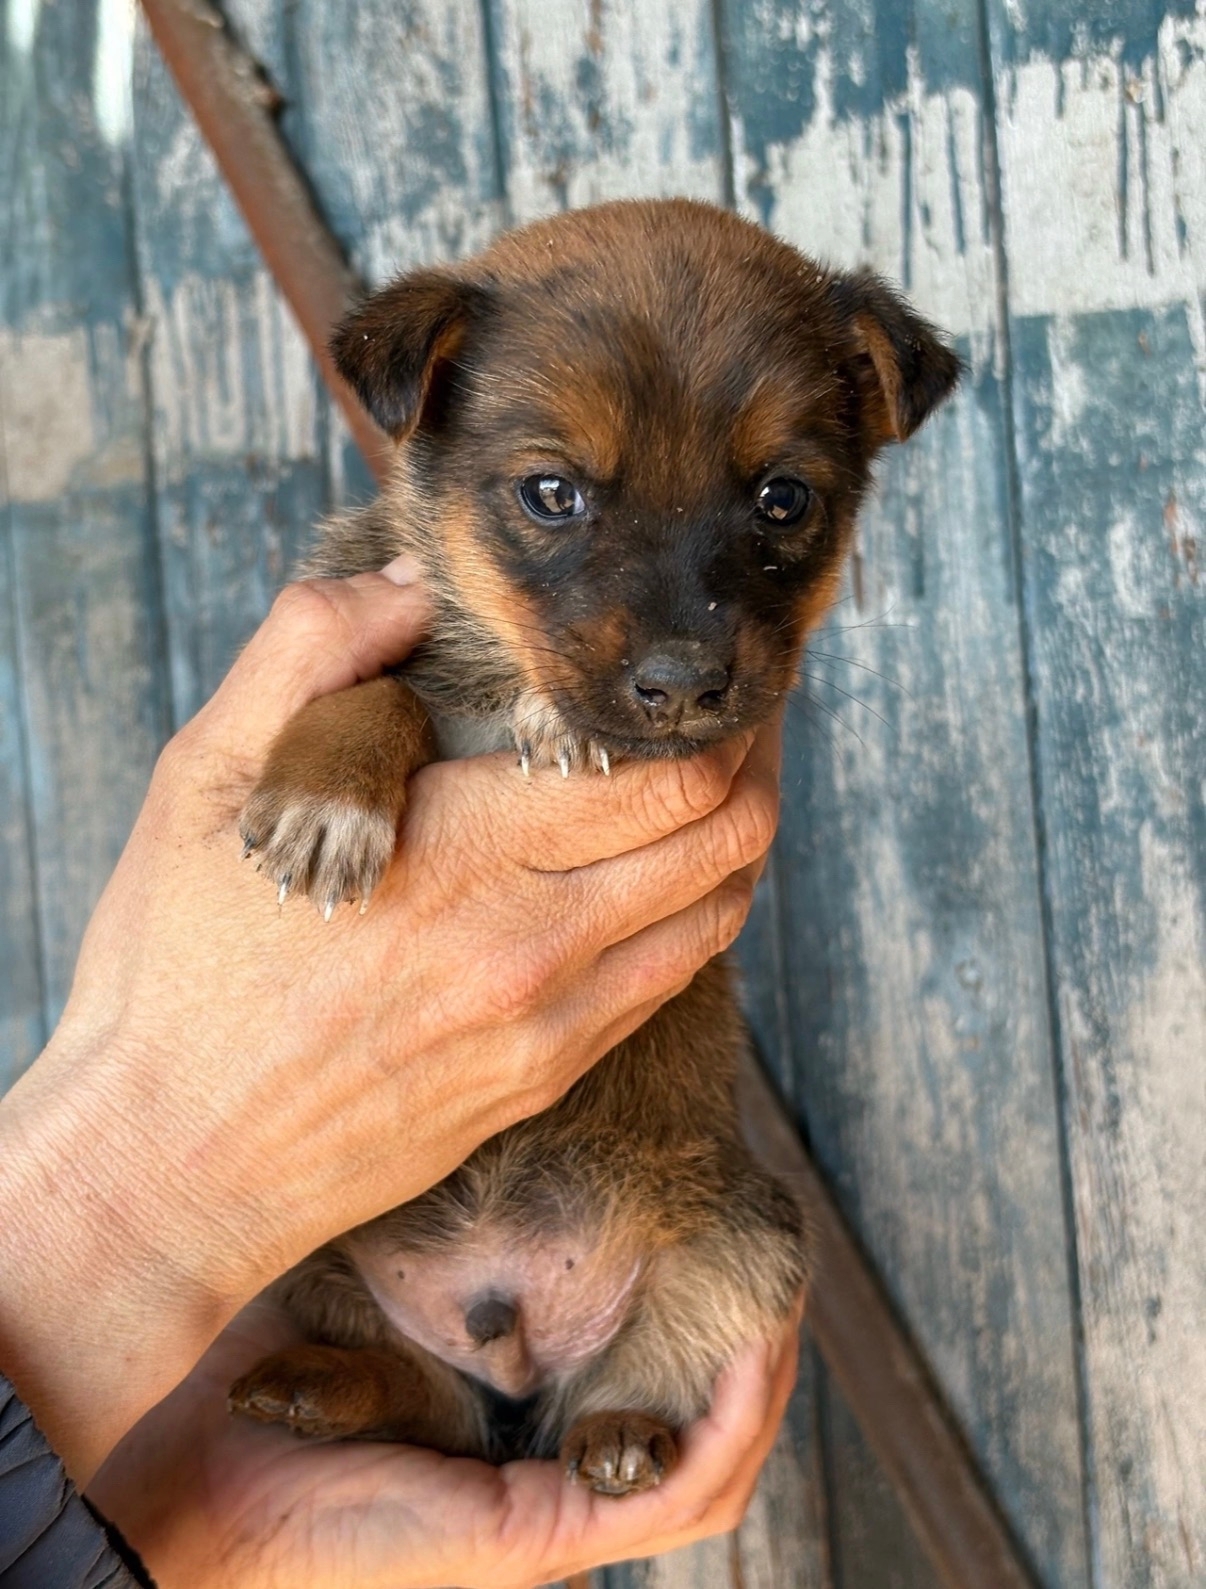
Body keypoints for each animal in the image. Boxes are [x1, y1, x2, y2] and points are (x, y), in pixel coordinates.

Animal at [228, 199, 960, 1495]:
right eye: (551, 492)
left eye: (784, 498)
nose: (683, 687)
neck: (501, 675)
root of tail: (507, 1313)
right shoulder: (354, 599)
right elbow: (381, 689)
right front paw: (327, 796)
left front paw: (553, 730)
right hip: (304, 1240)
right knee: (422, 1391)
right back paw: (319, 1383)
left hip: (744, 1234)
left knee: (584, 1385)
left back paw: (619, 1431)